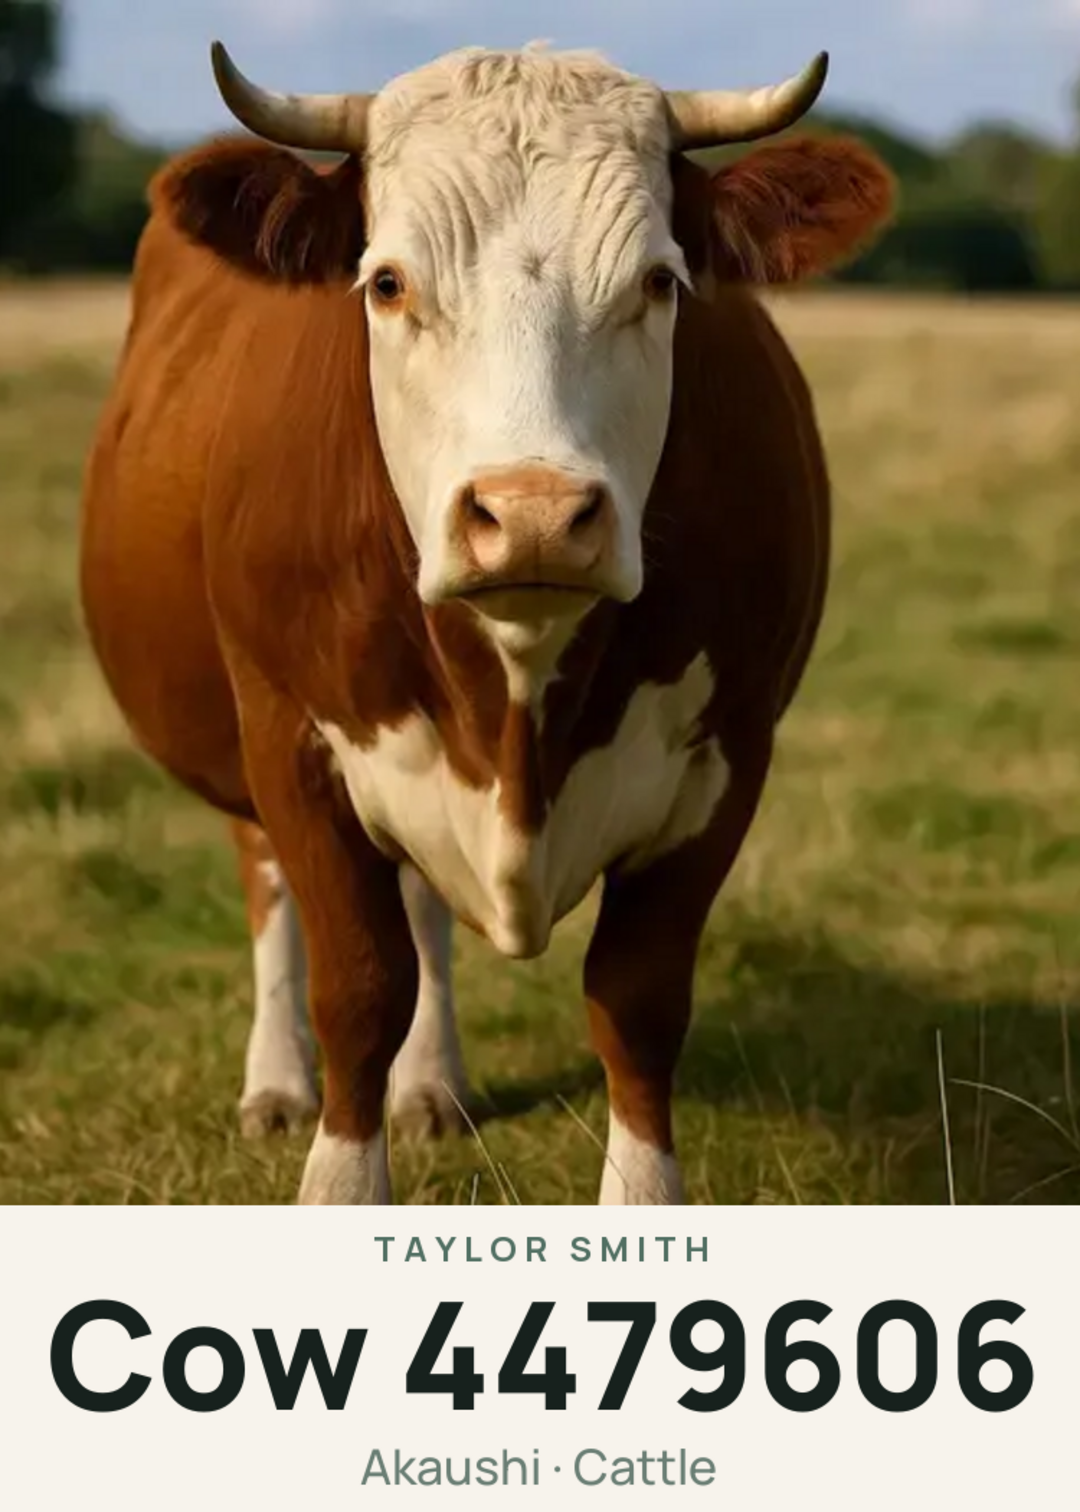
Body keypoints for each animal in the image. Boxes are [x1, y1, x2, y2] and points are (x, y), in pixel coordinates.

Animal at [79, 40, 894, 1205]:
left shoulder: (729, 757)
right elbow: (358, 989)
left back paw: (431, 1086)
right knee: (269, 884)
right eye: (387, 282)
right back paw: (275, 1082)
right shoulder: (289, 737)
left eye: (659, 281)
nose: (534, 516)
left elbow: (637, 1002)